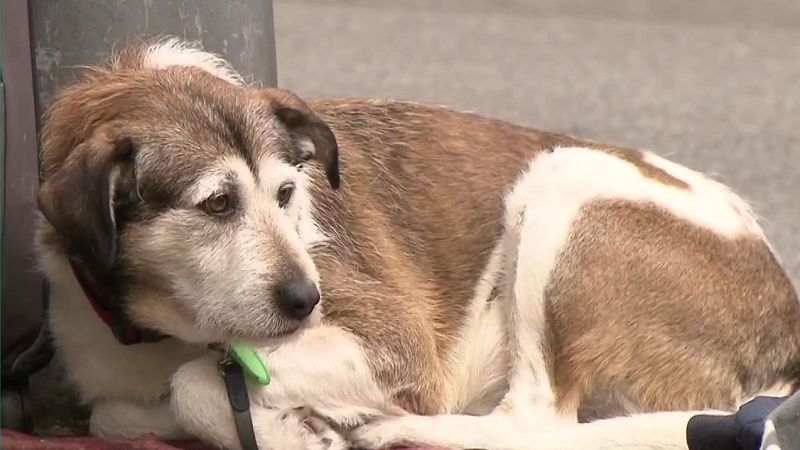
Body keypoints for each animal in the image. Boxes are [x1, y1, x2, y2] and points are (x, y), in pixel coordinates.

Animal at [32, 38, 800, 450]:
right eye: (217, 204)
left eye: (286, 193)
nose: (307, 301)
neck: (168, 328)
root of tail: (785, 317)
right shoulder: (112, 386)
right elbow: (118, 411)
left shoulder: (397, 343)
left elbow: (194, 383)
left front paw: (297, 431)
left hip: (563, 185)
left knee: (536, 421)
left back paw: (406, 432)